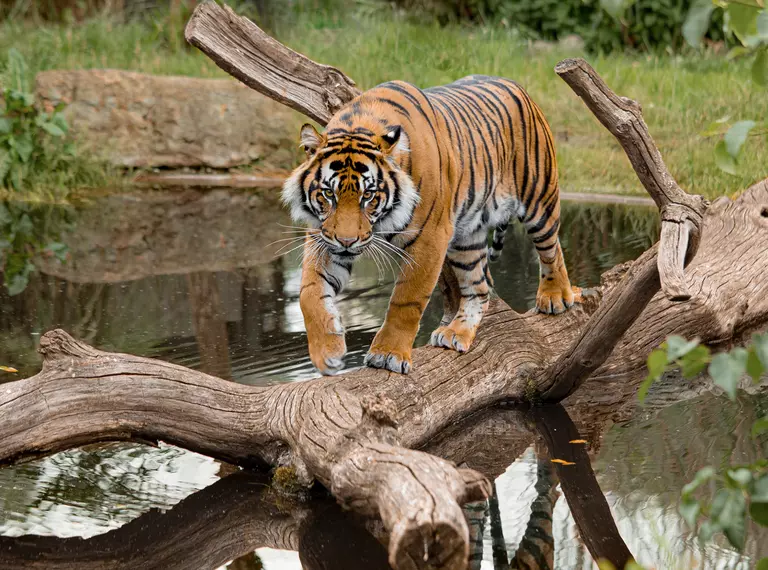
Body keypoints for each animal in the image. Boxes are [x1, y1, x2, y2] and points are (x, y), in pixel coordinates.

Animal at [284, 76, 580, 378]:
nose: (347, 242)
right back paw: (456, 333)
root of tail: (516, 85)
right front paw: (327, 353)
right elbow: (309, 293)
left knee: (551, 248)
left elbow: (406, 300)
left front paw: (388, 354)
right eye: (328, 194)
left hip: (539, 199)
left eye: (368, 196)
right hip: (467, 238)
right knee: (479, 287)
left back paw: (555, 297)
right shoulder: (323, 238)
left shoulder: (430, 238)